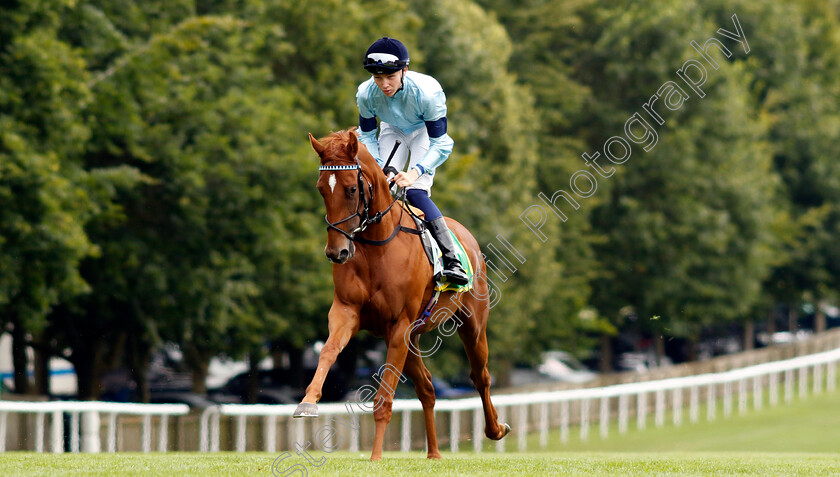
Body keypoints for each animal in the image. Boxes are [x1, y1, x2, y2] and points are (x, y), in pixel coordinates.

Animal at [296, 128, 512, 460]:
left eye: (351, 190)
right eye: (321, 189)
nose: (337, 252)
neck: (377, 245)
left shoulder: (400, 323)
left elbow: (384, 397)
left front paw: (374, 458)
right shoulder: (348, 312)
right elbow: (328, 350)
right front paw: (308, 402)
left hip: (471, 324)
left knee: (481, 376)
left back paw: (495, 429)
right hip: (412, 337)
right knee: (427, 387)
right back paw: (434, 452)